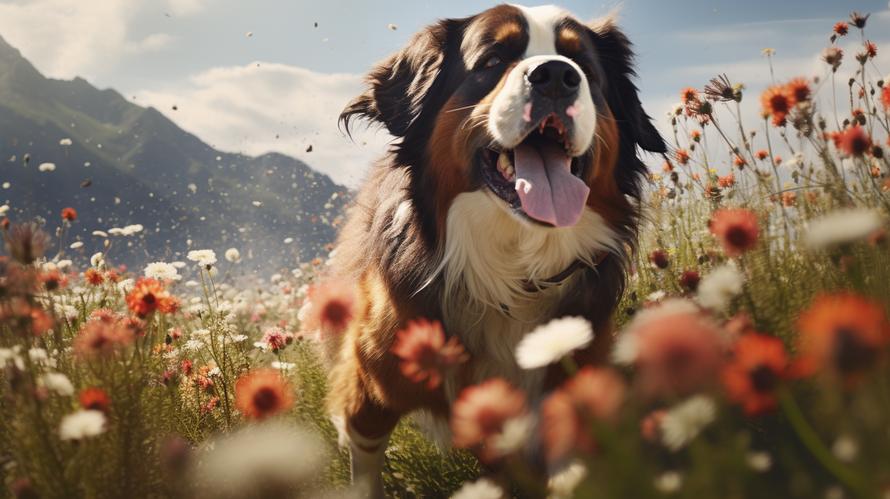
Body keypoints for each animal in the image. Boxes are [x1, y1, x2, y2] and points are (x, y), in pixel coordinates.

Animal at [322, 3, 664, 496]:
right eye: (492, 60)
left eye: (583, 65)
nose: (557, 76)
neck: (510, 271)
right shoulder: (370, 385)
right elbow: (364, 460)